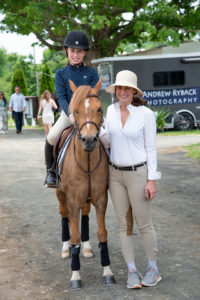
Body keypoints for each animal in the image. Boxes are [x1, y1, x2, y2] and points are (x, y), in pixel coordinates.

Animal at [55, 78, 115, 290]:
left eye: (99, 109)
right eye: (75, 110)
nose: (89, 140)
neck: (87, 159)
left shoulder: (101, 199)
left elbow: (103, 234)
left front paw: (108, 273)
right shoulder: (73, 200)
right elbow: (74, 236)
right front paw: (75, 276)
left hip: (87, 198)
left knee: (86, 215)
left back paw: (87, 247)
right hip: (60, 194)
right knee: (64, 216)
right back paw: (65, 249)